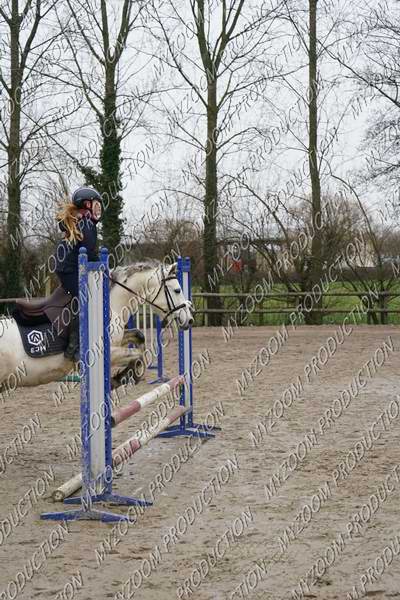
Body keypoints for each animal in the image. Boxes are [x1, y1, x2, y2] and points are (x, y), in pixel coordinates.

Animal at [0, 261, 193, 393]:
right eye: (177, 290)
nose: (190, 320)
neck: (110, 304)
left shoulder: (118, 340)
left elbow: (139, 337)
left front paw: (129, 374)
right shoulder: (107, 352)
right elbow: (137, 354)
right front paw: (123, 376)